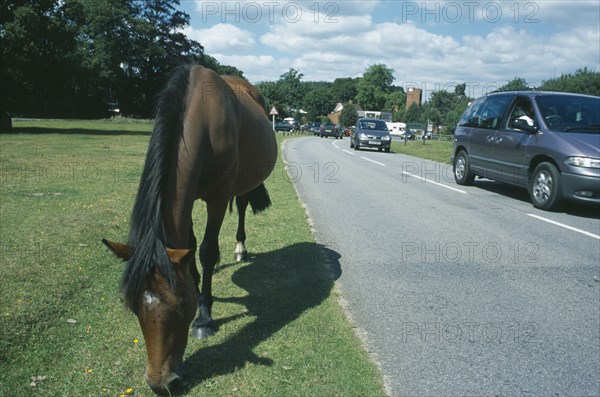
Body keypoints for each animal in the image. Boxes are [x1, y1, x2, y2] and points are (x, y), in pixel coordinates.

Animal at [102, 65, 276, 392]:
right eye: (134, 307)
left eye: (183, 308)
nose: (160, 383)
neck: (203, 121)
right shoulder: (191, 195)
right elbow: (190, 246)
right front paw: (196, 283)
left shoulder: (218, 197)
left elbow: (207, 250)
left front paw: (205, 316)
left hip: (243, 184)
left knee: (242, 207)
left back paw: (240, 248)